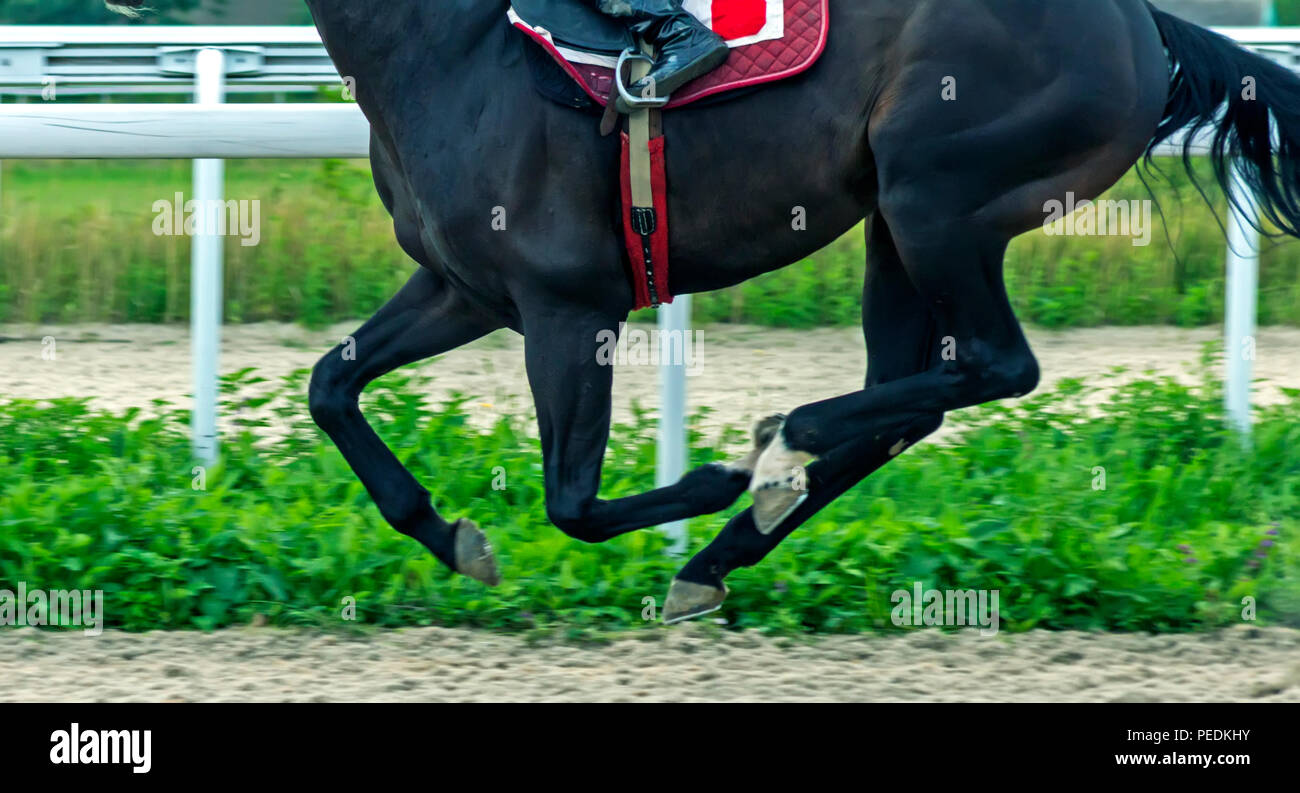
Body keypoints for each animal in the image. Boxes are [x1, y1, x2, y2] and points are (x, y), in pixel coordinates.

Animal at [109, 0, 1300, 623]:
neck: (451, 45)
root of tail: (1140, 24)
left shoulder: (565, 301)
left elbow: (573, 501)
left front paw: (721, 473)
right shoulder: (465, 286)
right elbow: (330, 385)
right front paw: (449, 534)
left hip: (941, 197)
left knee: (994, 369)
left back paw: (776, 452)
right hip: (893, 219)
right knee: (912, 395)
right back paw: (719, 551)